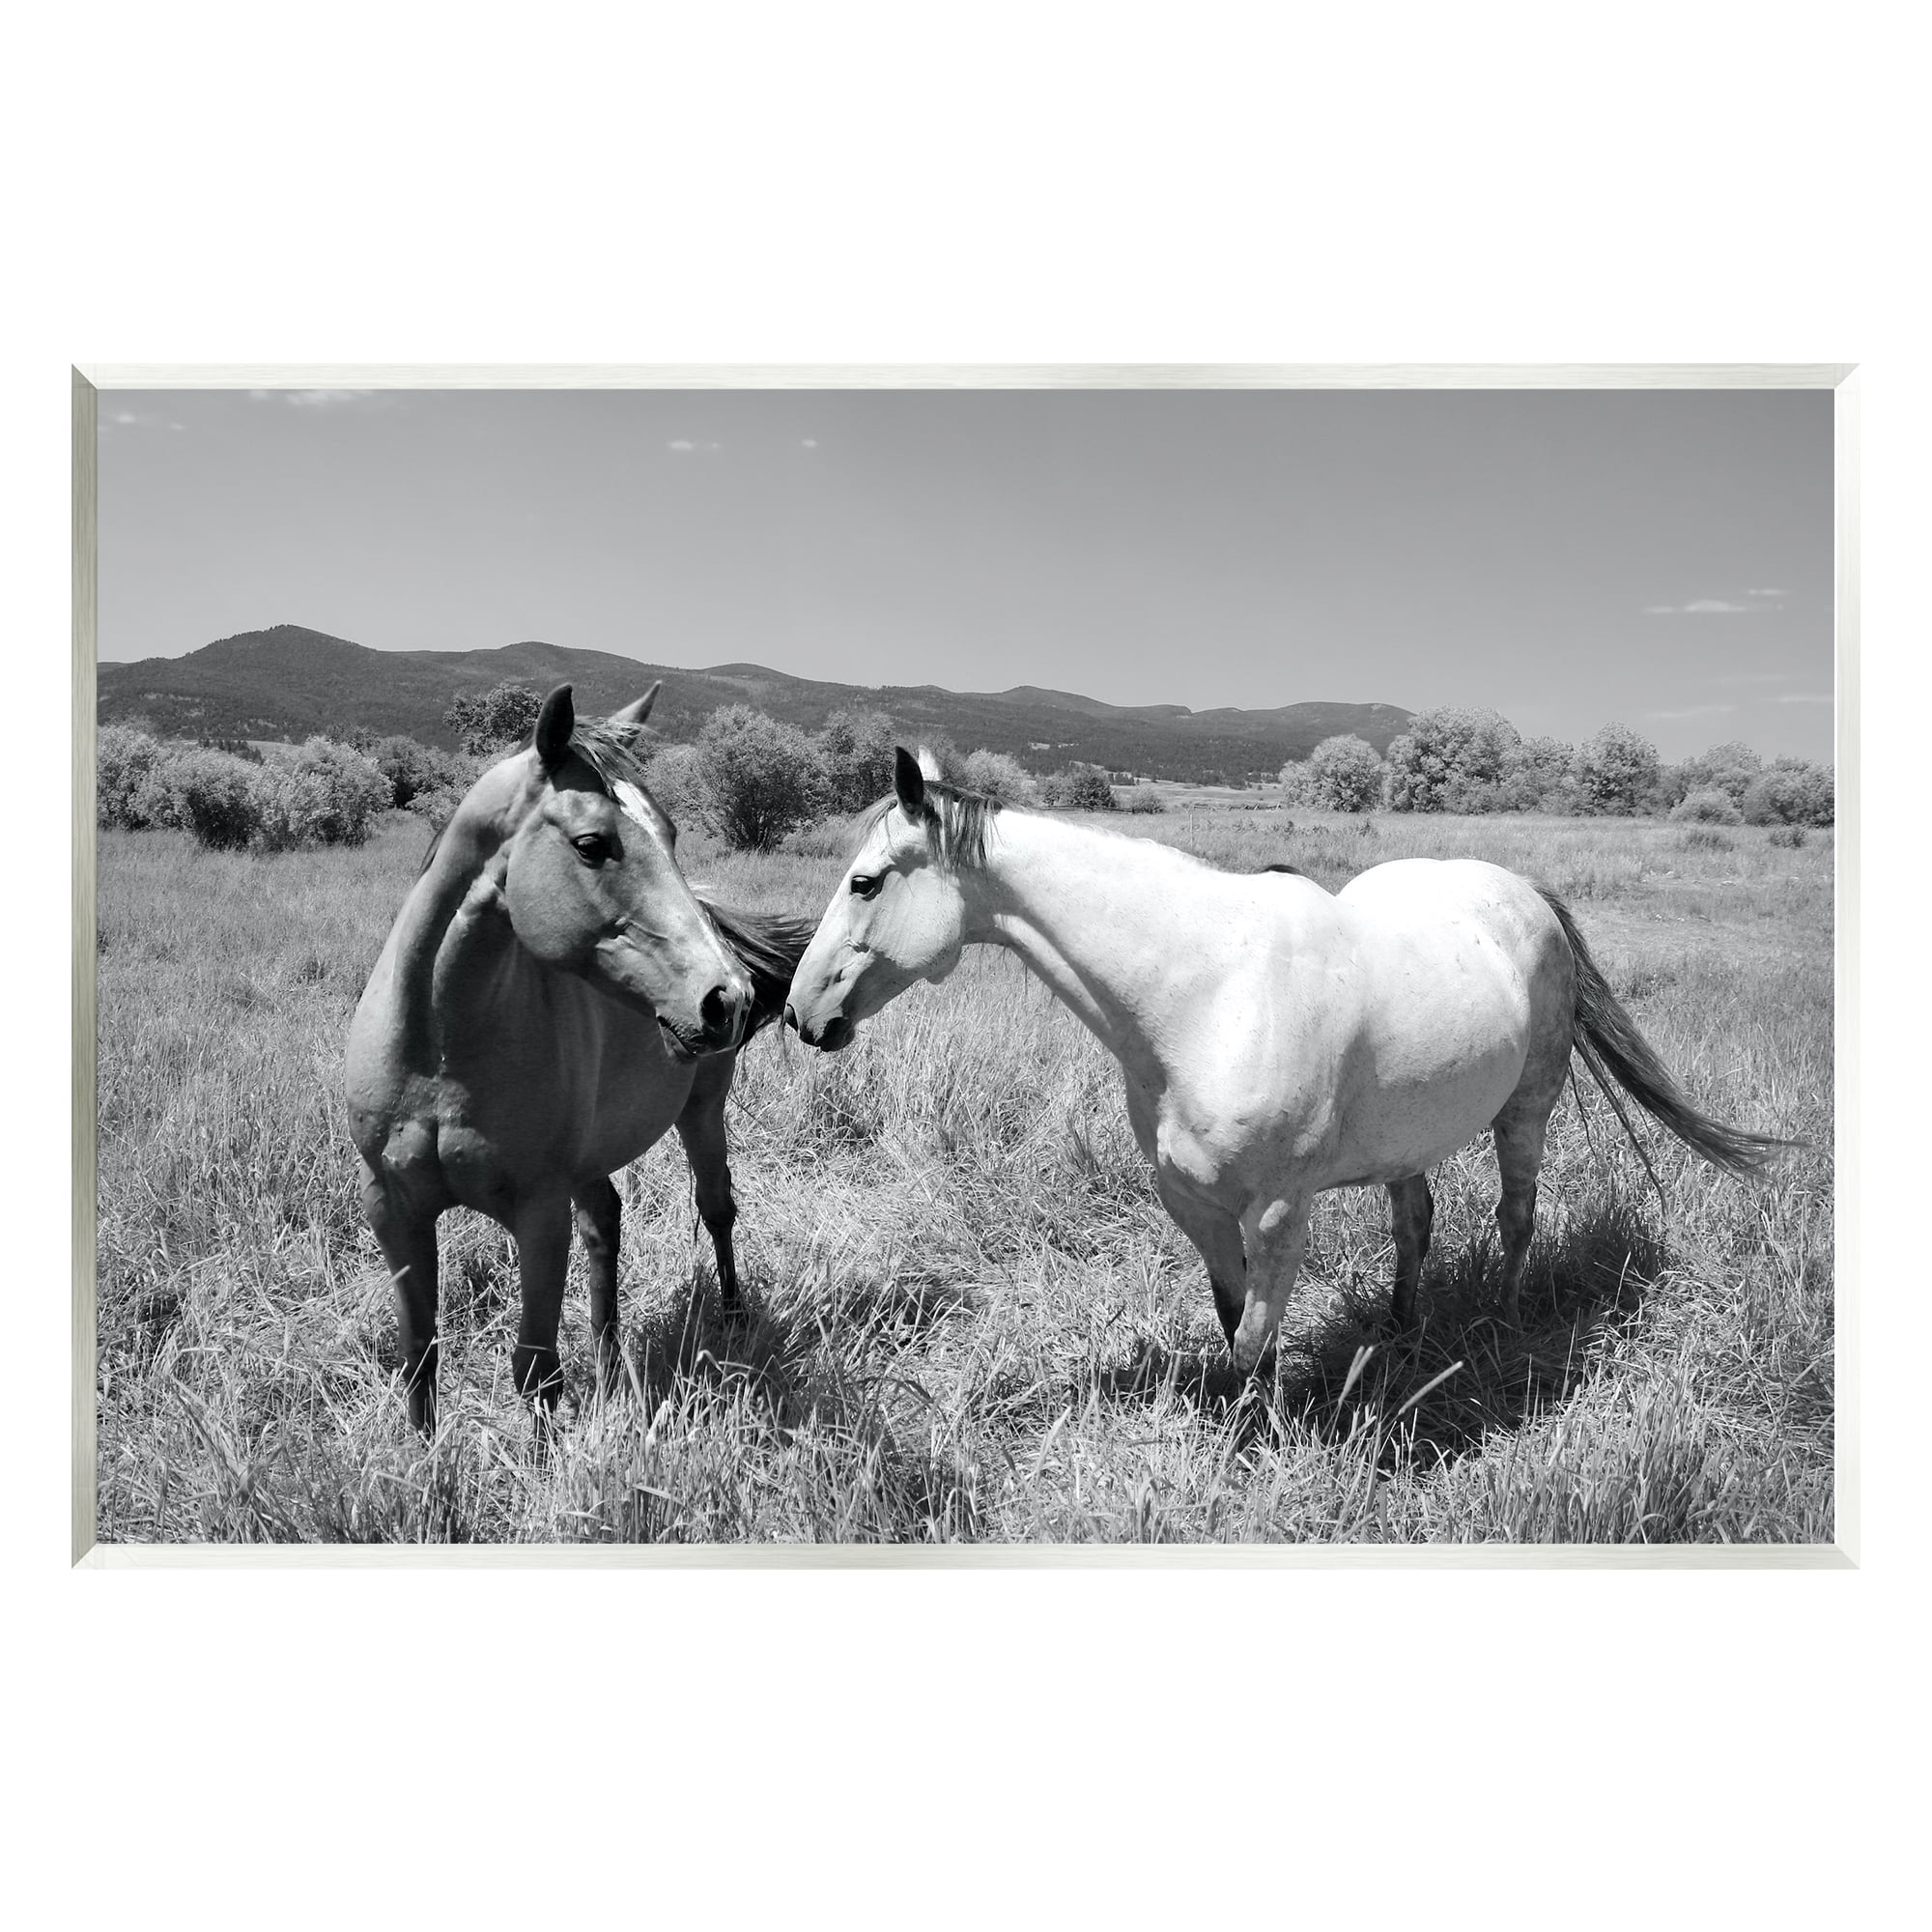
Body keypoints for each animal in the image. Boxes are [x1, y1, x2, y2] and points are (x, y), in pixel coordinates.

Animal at [347, 683, 815, 1431]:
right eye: (592, 845)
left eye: (672, 834)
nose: (727, 998)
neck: (437, 1056)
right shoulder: (391, 1206)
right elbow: (419, 1357)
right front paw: (419, 1461)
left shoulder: (539, 1212)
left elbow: (535, 1370)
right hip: (590, 1159)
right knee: (607, 1225)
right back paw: (610, 1360)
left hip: (701, 1113)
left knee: (717, 1208)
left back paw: (735, 1323)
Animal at [783, 748, 1787, 1375]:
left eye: (865, 882)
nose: (799, 1013)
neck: (1205, 993)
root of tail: (1522, 893)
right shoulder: (1193, 1204)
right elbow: (1234, 1322)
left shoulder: (1275, 1215)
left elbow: (1253, 1343)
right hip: (1407, 1140)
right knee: (1415, 1225)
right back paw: (1400, 1331)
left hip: (1526, 1113)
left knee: (1516, 1217)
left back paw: (1501, 1320)